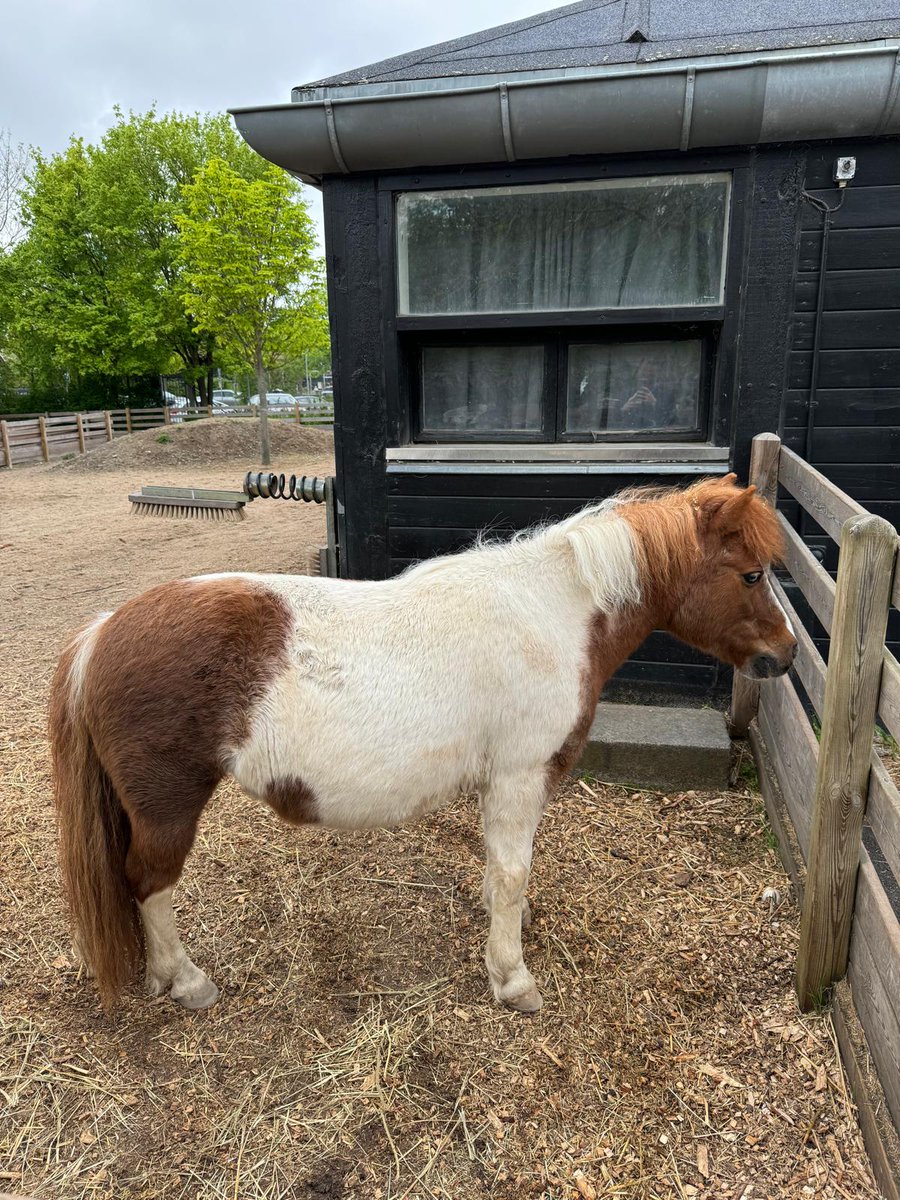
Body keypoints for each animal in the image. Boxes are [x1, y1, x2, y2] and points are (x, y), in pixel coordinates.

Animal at [49, 473, 796, 1014]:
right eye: (752, 573)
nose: (787, 654)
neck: (549, 613)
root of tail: (104, 631)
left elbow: (499, 872)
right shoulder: (520, 776)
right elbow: (513, 873)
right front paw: (511, 978)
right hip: (166, 811)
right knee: (148, 883)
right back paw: (186, 980)